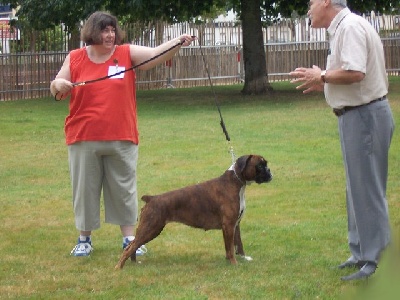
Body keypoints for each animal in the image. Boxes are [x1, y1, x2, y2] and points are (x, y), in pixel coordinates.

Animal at [115, 154, 272, 268]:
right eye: (260, 165)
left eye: (266, 164)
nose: (270, 171)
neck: (236, 182)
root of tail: (152, 198)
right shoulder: (228, 226)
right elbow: (230, 248)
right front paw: (234, 263)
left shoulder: (235, 225)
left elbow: (238, 243)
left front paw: (244, 258)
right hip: (151, 228)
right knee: (130, 247)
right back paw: (119, 268)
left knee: (131, 244)